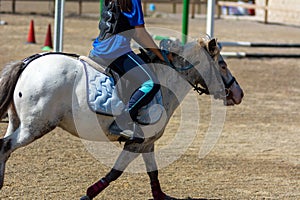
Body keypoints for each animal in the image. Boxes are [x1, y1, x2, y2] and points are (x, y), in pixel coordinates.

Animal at [0, 37, 244, 198]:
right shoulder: (136, 143)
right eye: (222, 65)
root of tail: (29, 62)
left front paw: (160, 196)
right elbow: (115, 172)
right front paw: (88, 194)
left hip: (17, 122)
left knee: (4, 148)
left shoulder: (147, 143)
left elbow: (153, 172)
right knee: (5, 147)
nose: (239, 93)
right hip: (35, 126)